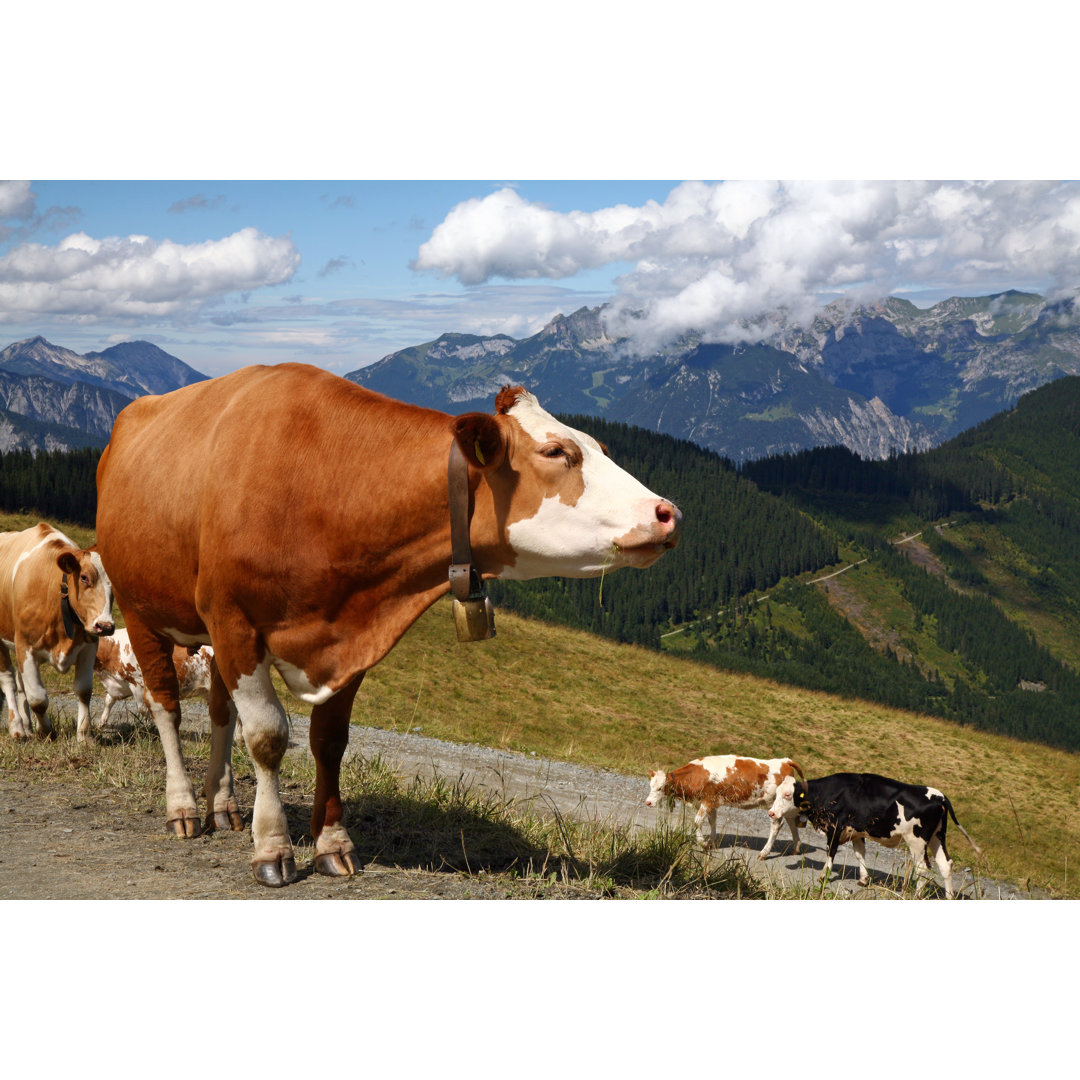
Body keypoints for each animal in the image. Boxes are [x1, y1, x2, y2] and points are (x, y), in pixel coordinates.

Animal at [0, 522, 115, 743]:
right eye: (84, 577)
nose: (105, 626)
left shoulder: (89, 646)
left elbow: (84, 690)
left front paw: (84, 736)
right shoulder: (25, 646)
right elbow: (38, 698)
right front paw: (45, 732)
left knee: (20, 684)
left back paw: (27, 726)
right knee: (9, 681)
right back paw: (17, 729)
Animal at [95, 362, 682, 885]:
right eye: (557, 452)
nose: (669, 513)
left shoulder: (349, 638)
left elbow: (329, 740)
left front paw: (332, 844)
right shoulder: (234, 618)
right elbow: (266, 736)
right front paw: (274, 848)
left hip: (209, 636)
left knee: (219, 712)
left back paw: (223, 805)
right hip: (144, 610)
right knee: (165, 706)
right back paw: (184, 809)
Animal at [643, 756, 807, 855]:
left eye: (660, 788)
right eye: (651, 786)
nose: (648, 802)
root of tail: (785, 761)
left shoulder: (708, 800)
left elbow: (697, 822)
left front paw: (703, 843)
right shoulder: (712, 802)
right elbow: (712, 821)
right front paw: (711, 842)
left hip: (774, 804)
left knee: (776, 825)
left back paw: (764, 853)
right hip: (784, 805)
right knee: (791, 821)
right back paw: (796, 847)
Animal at [764, 773, 984, 898]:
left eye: (787, 795)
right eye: (776, 793)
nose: (771, 813)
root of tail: (939, 795)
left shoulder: (835, 828)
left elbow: (830, 852)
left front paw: (823, 876)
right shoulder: (856, 831)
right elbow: (860, 854)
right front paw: (864, 879)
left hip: (916, 840)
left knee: (922, 868)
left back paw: (917, 894)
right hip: (937, 836)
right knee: (945, 864)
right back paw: (949, 896)